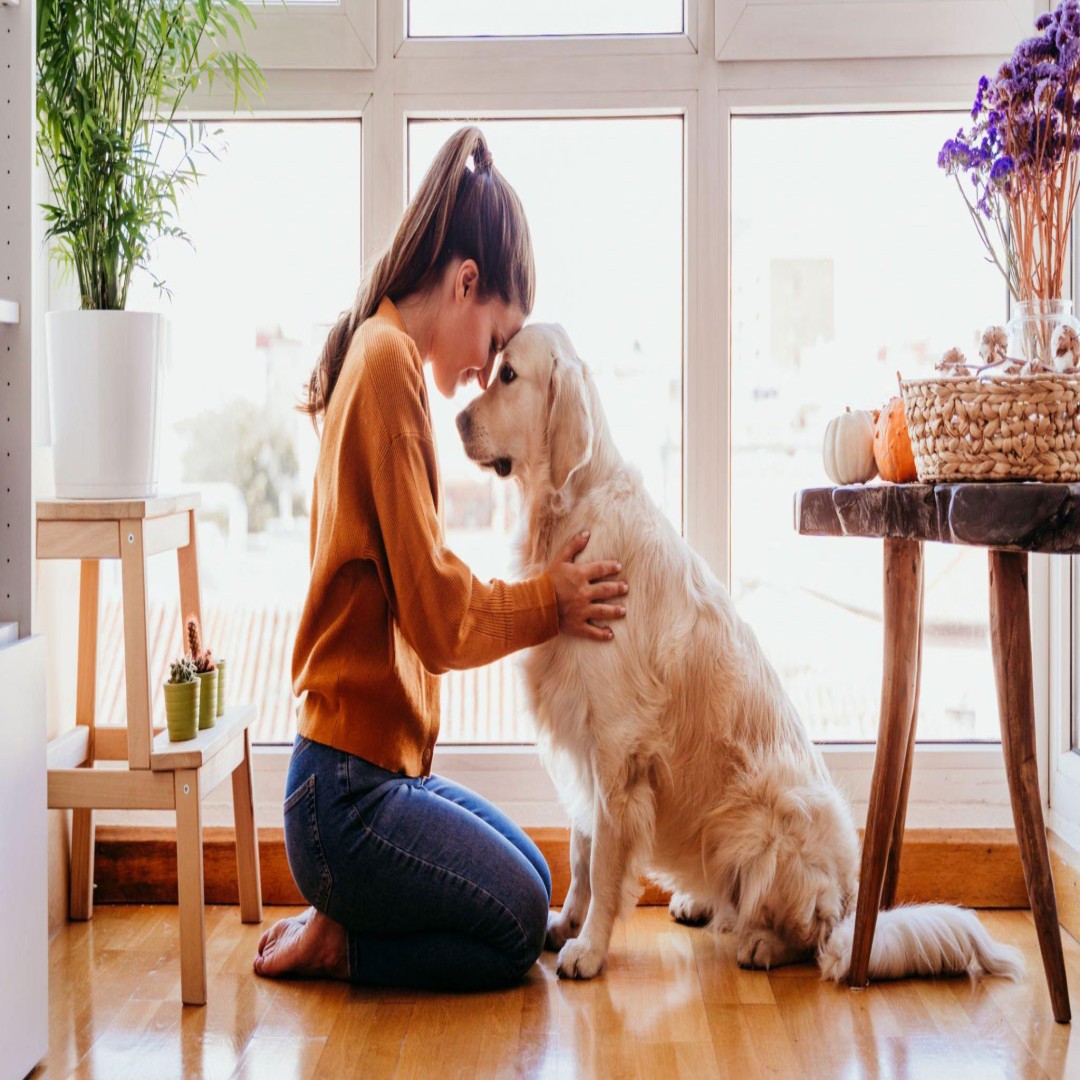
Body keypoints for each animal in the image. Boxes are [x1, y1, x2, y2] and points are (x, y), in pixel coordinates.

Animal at [451, 321, 1023, 989]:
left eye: (508, 375)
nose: (456, 418)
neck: (571, 509)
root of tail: (853, 905)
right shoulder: (583, 742)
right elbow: (581, 848)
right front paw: (565, 923)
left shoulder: (617, 748)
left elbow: (606, 860)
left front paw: (588, 947)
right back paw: (698, 903)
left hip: (760, 821)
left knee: (812, 939)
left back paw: (763, 944)